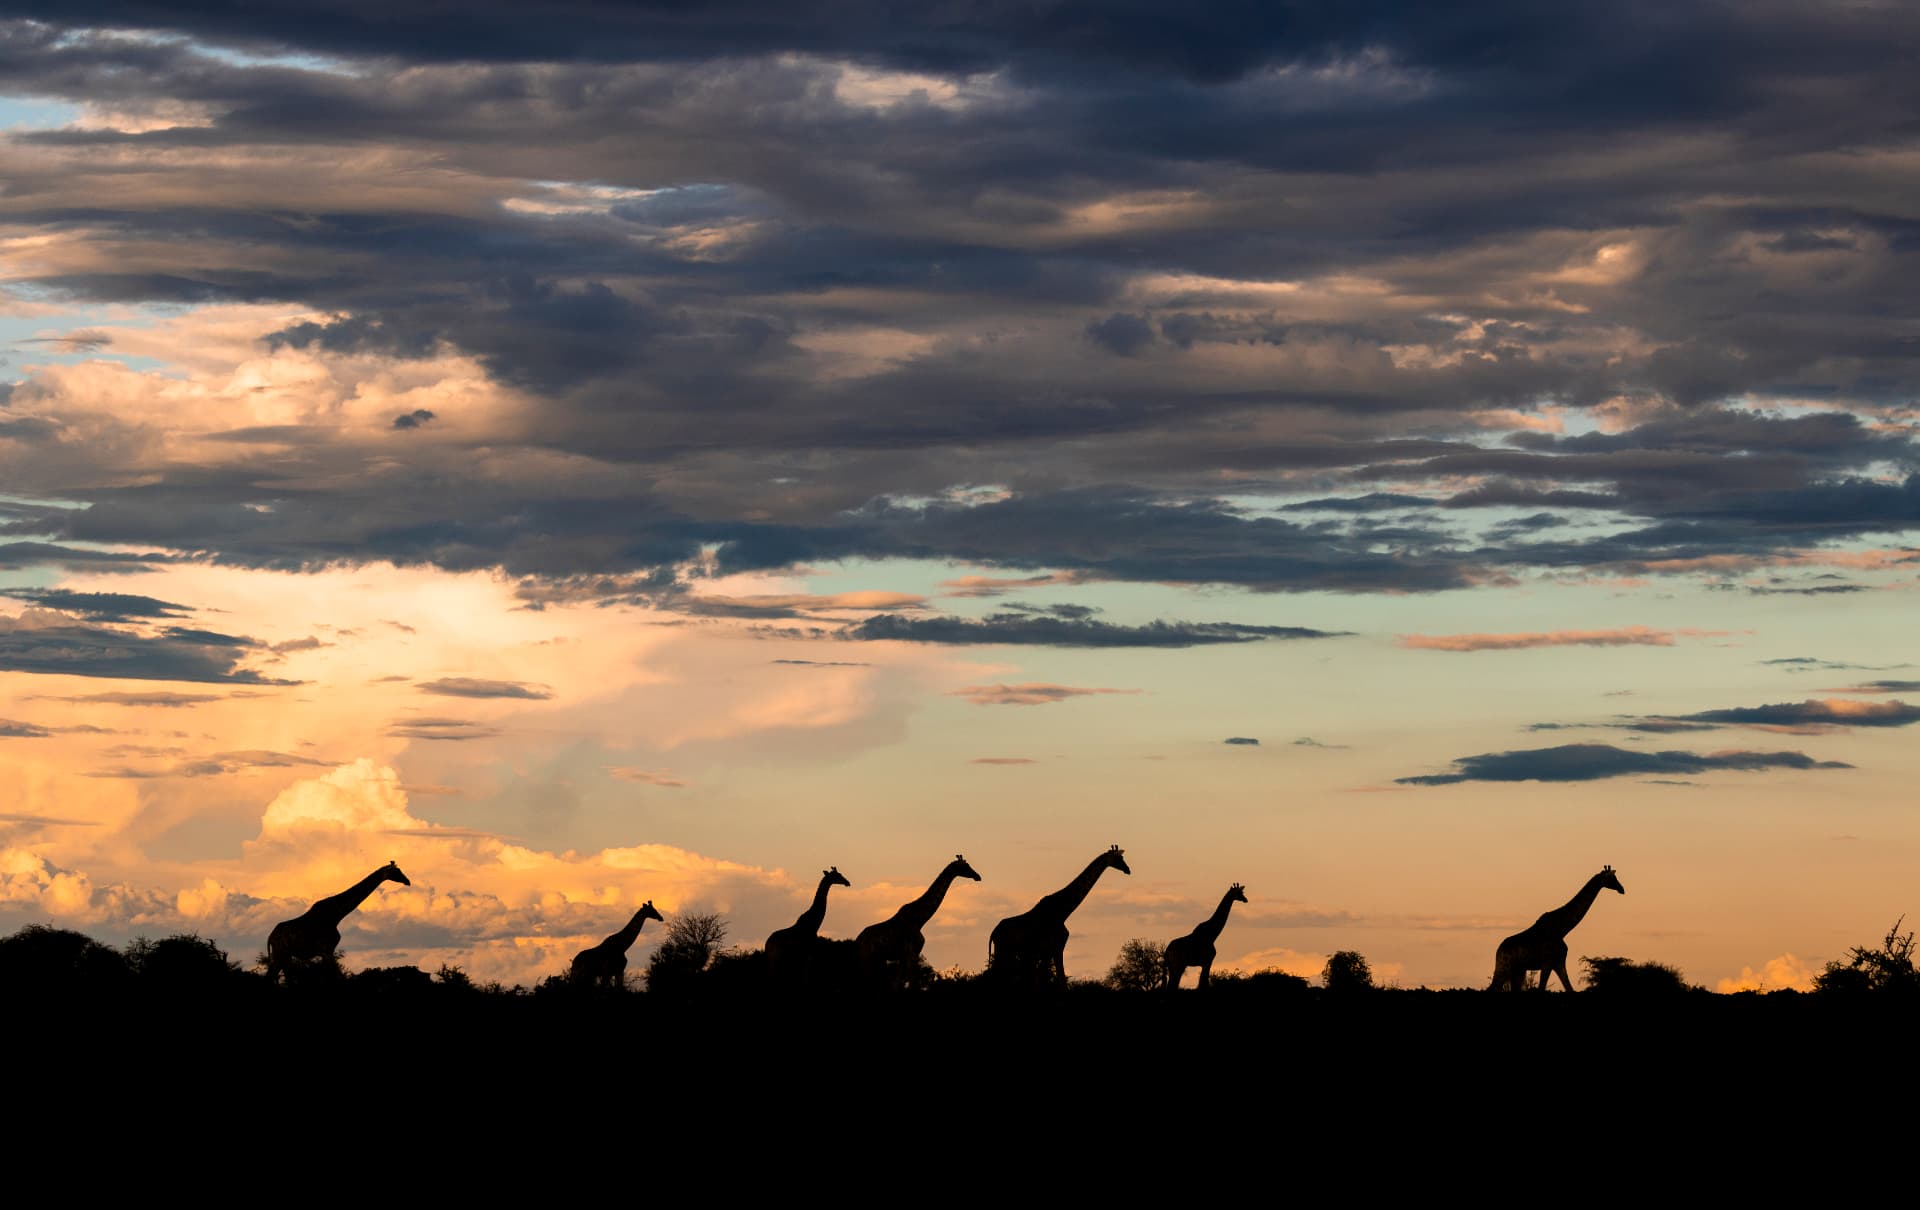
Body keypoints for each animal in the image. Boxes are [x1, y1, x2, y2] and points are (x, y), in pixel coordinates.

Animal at [265, 860, 410, 982]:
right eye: (397, 871)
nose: (408, 881)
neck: (336, 915)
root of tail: (270, 937)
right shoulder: (327, 950)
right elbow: (337, 977)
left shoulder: (326, 952)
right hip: (281, 953)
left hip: (286, 955)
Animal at [855, 855, 981, 989]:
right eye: (965, 866)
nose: (978, 876)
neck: (920, 920)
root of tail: (858, 941)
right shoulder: (911, 953)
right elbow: (912, 982)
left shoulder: (905, 956)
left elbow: (897, 983)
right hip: (868, 958)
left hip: (877, 959)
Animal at [987, 845, 1130, 987]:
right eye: (1118, 858)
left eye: (1122, 857)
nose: (1128, 870)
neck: (1063, 912)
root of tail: (993, 932)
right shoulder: (1055, 948)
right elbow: (1058, 979)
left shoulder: (1048, 951)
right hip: (1003, 950)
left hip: (1009, 951)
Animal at [1489, 865, 1626, 992]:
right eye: (1611, 878)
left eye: (1615, 877)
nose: (1622, 889)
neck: (1562, 929)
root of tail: (1498, 950)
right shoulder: (1547, 962)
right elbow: (1541, 989)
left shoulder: (1559, 963)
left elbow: (1570, 989)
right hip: (1504, 967)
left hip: (1518, 970)